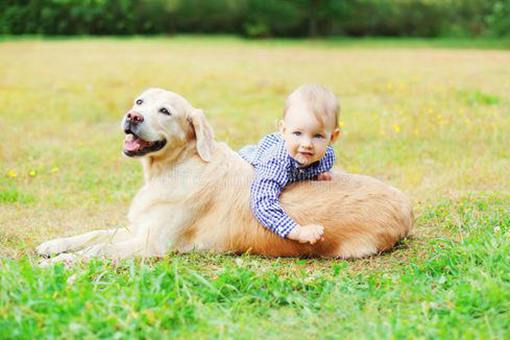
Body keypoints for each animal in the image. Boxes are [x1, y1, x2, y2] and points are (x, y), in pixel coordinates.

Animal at [37, 89, 414, 264]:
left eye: (165, 111)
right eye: (140, 101)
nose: (132, 116)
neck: (175, 166)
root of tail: (406, 205)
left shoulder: (151, 244)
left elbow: (98, 248)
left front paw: (63, 263)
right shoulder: (139, 228)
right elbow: (93, 234)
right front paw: (54, 246)